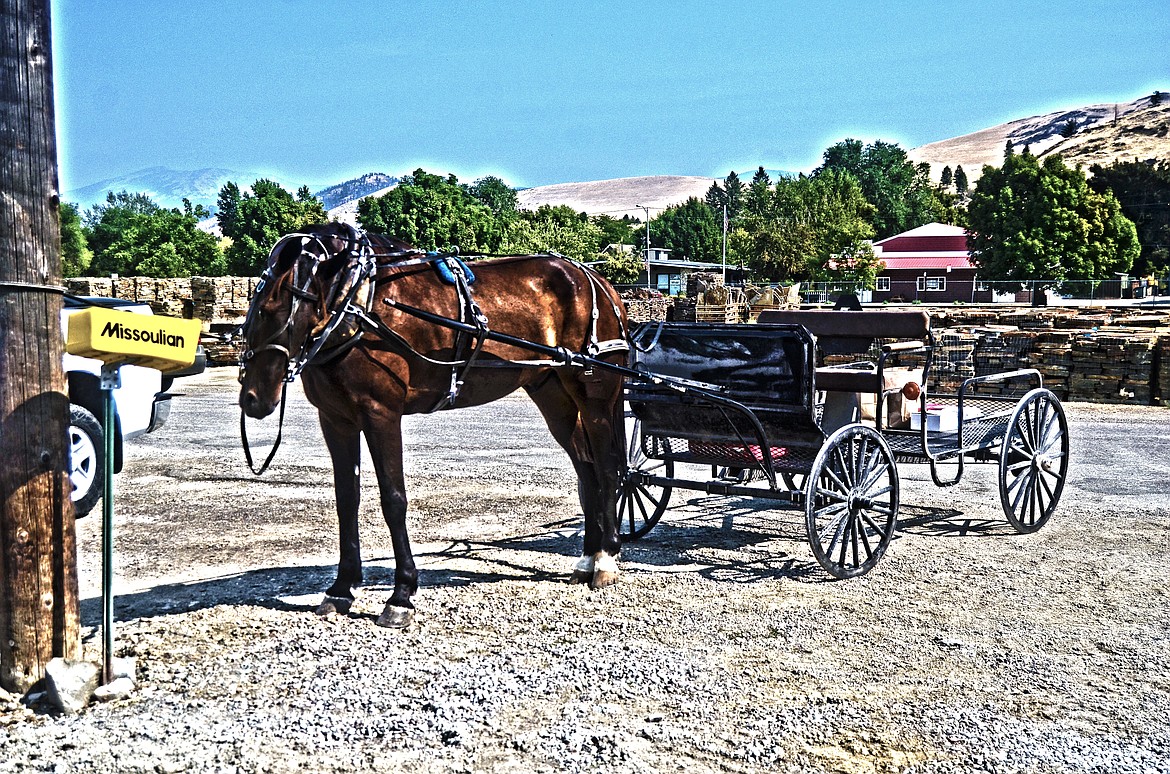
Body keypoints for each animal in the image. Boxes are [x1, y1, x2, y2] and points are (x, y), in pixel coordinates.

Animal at [236, 224, 631, 631]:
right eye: (254, 308)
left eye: (272, 309)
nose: (253, 398)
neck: (360, 303)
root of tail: (598, 281)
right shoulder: (336, 420)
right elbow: (346, 500)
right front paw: (342, 588)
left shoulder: (381, 414)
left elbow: (394, 500)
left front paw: (402, 595)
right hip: (552, 393)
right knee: (587, 473)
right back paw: (588, 558)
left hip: (596, 397)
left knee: (608, 468)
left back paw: (606, 558)